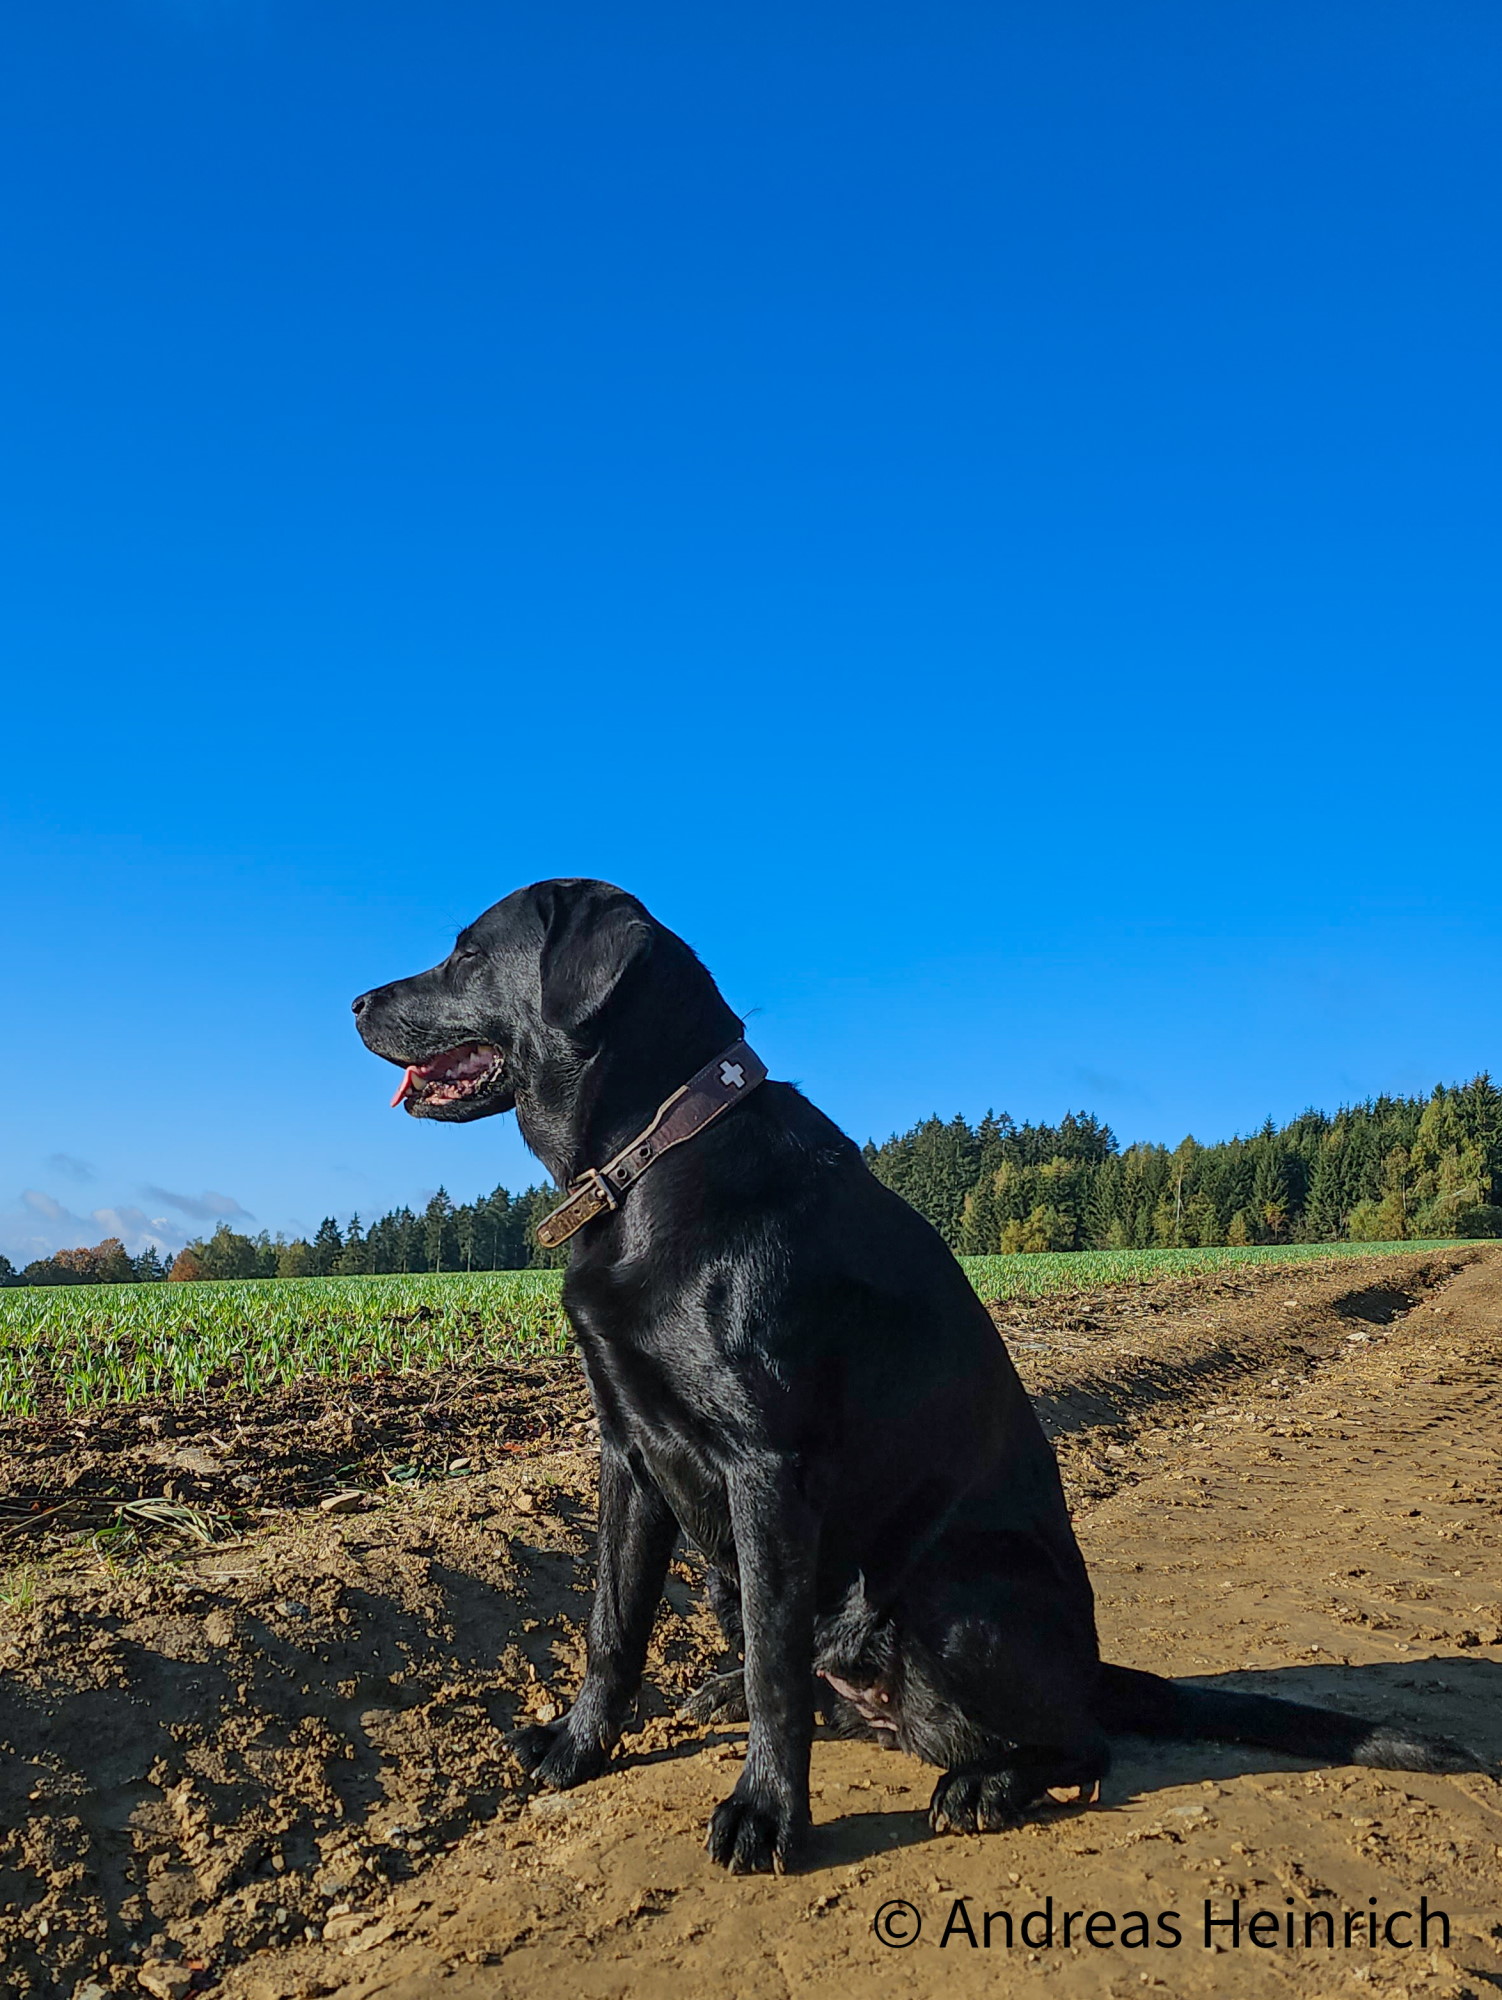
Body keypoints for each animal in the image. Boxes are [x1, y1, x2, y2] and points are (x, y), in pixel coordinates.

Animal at [358, 884, 1488, 1864]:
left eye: (467, 952)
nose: (356, 1001)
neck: (655, 1153)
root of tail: (1091, 1666)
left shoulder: (767, 1467)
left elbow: (774, 1674)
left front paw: (767, 1812)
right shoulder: (628, 1452)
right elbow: (610, 1625)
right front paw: (576, 1747)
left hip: (944, 1591)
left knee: (1071, 1741)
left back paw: (983, 1783)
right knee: (812, 1674)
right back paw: (730, 1692)